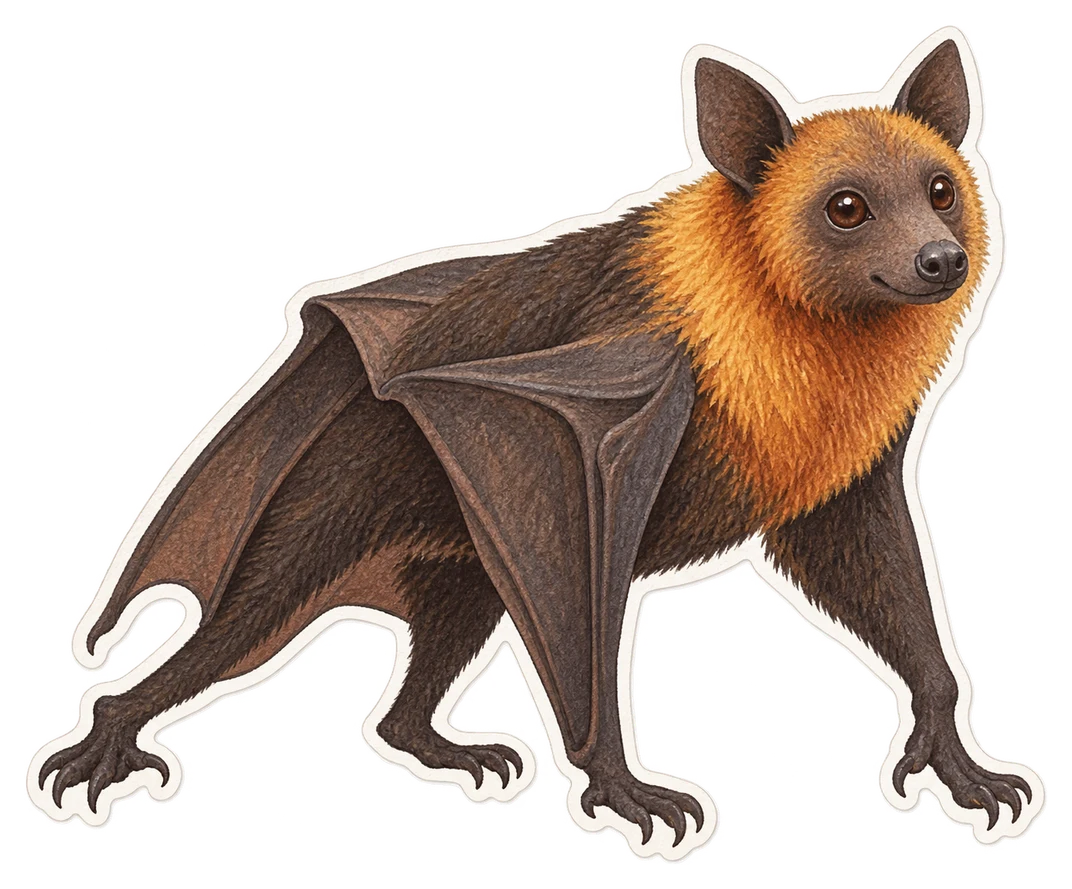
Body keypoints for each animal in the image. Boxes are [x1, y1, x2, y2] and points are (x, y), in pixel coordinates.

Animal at [30, 34, 1040, 858]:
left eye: (941, 190)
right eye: (847, 207)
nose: (941, 259)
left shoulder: (844, 488)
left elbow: (887, 587)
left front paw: (963, 765)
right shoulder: (590, 433)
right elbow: (594, 648)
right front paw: (630, 794)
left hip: (476, 551)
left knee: (415, 678)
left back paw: (446, 749)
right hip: (337, 496)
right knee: (242, 622)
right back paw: (104, 740)